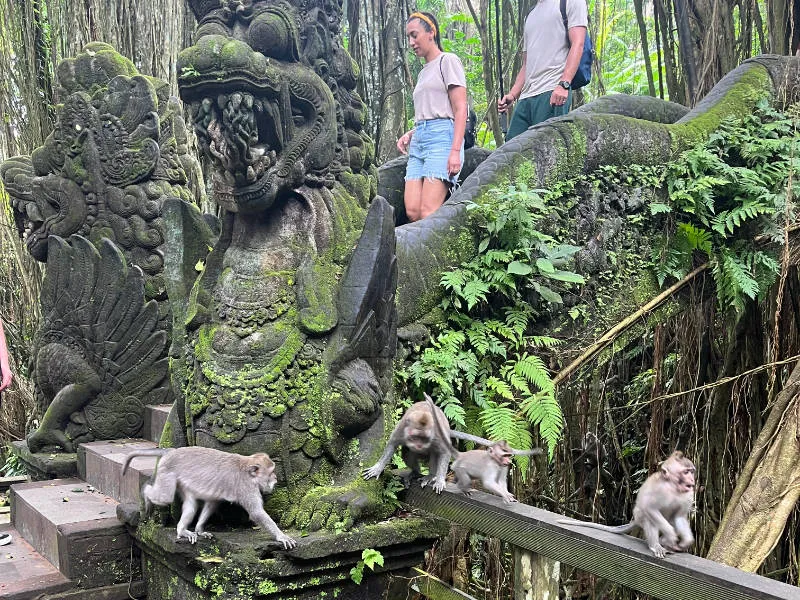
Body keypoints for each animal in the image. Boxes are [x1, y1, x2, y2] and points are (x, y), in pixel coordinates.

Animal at [119, 446, 294, 548]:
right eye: (271, 472)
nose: (276, 478)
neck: (247, 470)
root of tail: (171, 451)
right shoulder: (246, 488)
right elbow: (256, 513)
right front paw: (281, 536)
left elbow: (212, 503)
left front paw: (199, 529)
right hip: (166, 472)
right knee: (164, 497)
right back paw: (145, 494)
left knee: (191, 505)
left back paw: (183, 530)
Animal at [560, 450, 696, 556]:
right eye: (686, 472)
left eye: (692, 471)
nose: (692, 479)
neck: (673, 487)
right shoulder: (659, 489)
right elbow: (650, 508)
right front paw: (671, 535)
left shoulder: (688, 494)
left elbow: (679, 516)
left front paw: (686, 542)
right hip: (640, 516)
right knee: (648, 518)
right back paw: (656, 545)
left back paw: (664, 541)